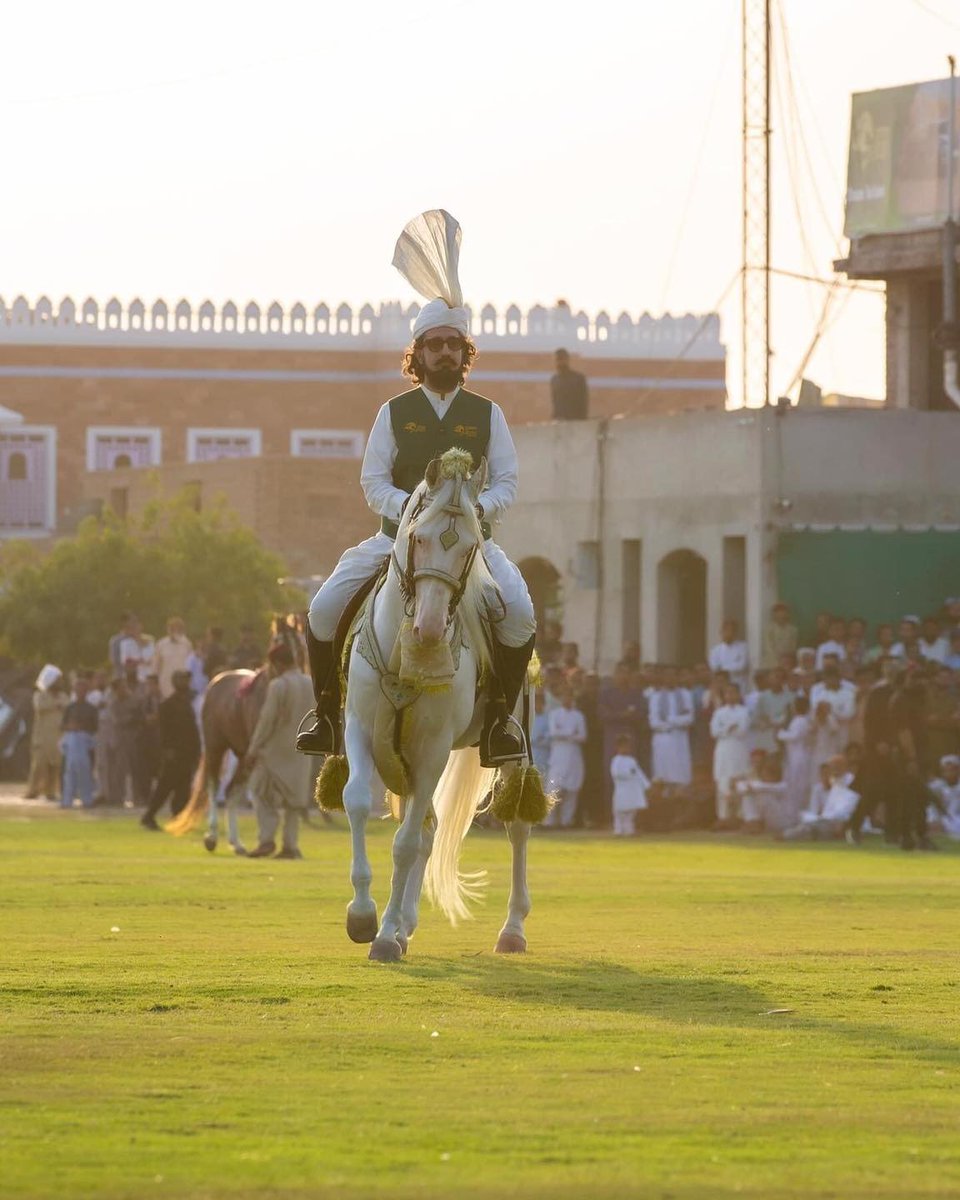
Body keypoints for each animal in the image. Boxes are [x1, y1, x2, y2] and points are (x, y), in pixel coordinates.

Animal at [320, 447, 548, 962]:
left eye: (468, 548)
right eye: (418, 538)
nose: (427, 629)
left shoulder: (432, 748)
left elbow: (405, 843)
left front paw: (383, 935)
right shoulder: (362, 728)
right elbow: (358, 801)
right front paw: (364, 916)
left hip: (513, 746)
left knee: (516, 823)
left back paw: (513, 928)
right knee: (427, 825)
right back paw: (406, 923)